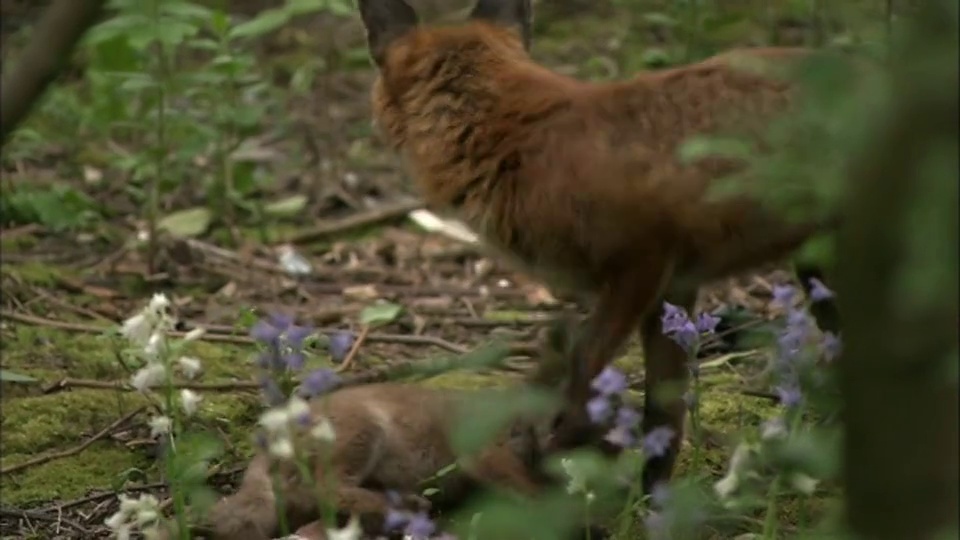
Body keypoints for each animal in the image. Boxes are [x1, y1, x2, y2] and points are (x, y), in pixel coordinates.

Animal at [358, 0, 848, 494]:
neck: (520, 142)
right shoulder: (675, 290)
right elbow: (663, 417)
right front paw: (652, 501)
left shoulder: (640, 266)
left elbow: (582, 377)